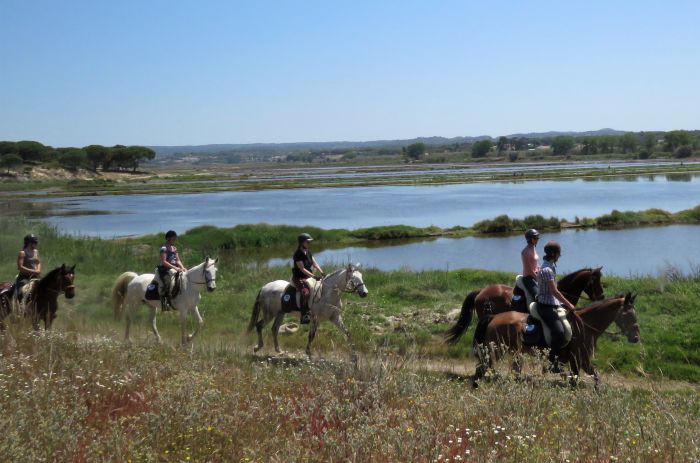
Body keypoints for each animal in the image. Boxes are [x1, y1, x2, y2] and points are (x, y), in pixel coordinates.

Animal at [470, 294, 640, 388]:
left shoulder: (578, 361)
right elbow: (590, 377)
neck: (585, 325)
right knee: (482, 368)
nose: (636, 337)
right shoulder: (581, 359)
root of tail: (493, 317)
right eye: (628, 315)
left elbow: (580, 378)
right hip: (497, 349)